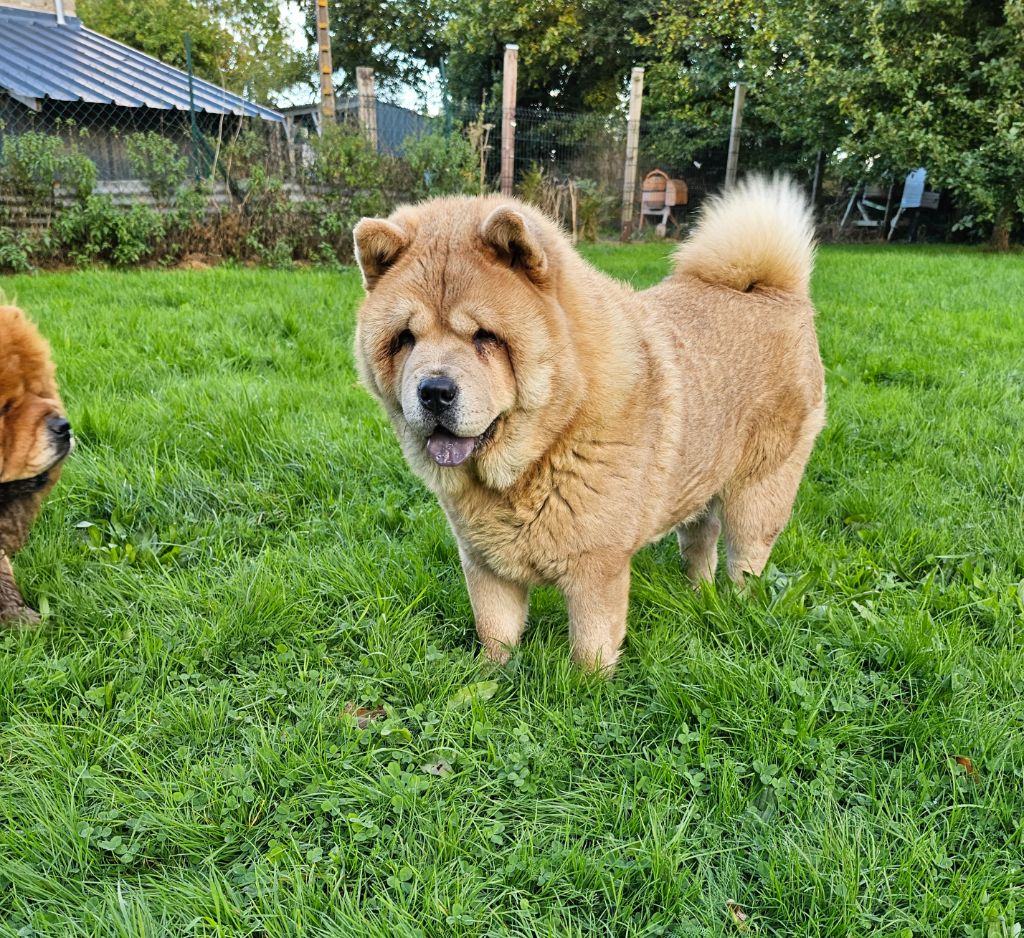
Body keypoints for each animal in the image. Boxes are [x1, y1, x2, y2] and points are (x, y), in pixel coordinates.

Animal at [352, 176, 823, 671]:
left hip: (758, 494)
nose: (434, 390)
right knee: (701, 540)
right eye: (406, 339)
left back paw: (735, 608)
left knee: (746, 559)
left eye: (486, 337)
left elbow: (591, 647)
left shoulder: (596, 569)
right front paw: (492, 675)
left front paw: (588, 686)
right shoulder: (484, 564)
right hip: (700, 480)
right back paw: (699, 595)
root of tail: (769, 288)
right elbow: (494, 633)